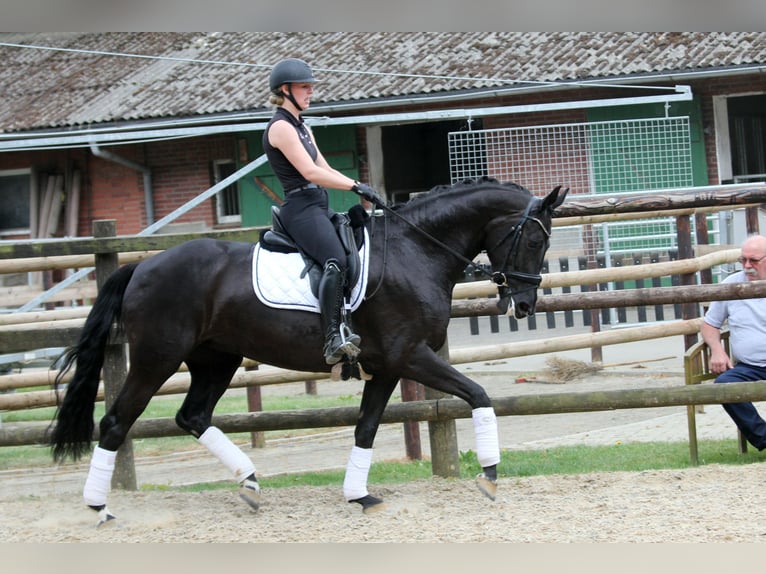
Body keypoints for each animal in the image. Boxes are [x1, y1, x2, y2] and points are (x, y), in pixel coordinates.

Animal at [48, 178, 564, 524]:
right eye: (533, 238)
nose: (524, 304)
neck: (415, 251)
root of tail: (141, 266)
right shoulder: (411, 355)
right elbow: (478, 394)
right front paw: (490, 475)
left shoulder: (386, 366)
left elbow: (366, 427)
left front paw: (359, 495)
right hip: (157, 357)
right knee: (117, 422)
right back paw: (99, 506)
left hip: (217, 359)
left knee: (192, 416)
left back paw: (250, 484)